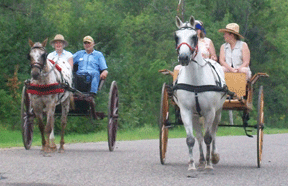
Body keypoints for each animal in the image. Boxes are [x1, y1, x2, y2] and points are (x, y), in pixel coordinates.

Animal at [173, 16, 227, 171]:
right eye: (176, 36)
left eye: (194, 36)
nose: (184, 57)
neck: (196, 82)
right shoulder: (186, 111)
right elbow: (191, 139)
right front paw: (191, 166)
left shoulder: (210, 111)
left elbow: (209, 137)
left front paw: (209, 164)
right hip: (196, 115)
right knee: (198, 136)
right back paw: (202, 159)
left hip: (218, 112)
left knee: (213, 132)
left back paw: (212, 157)